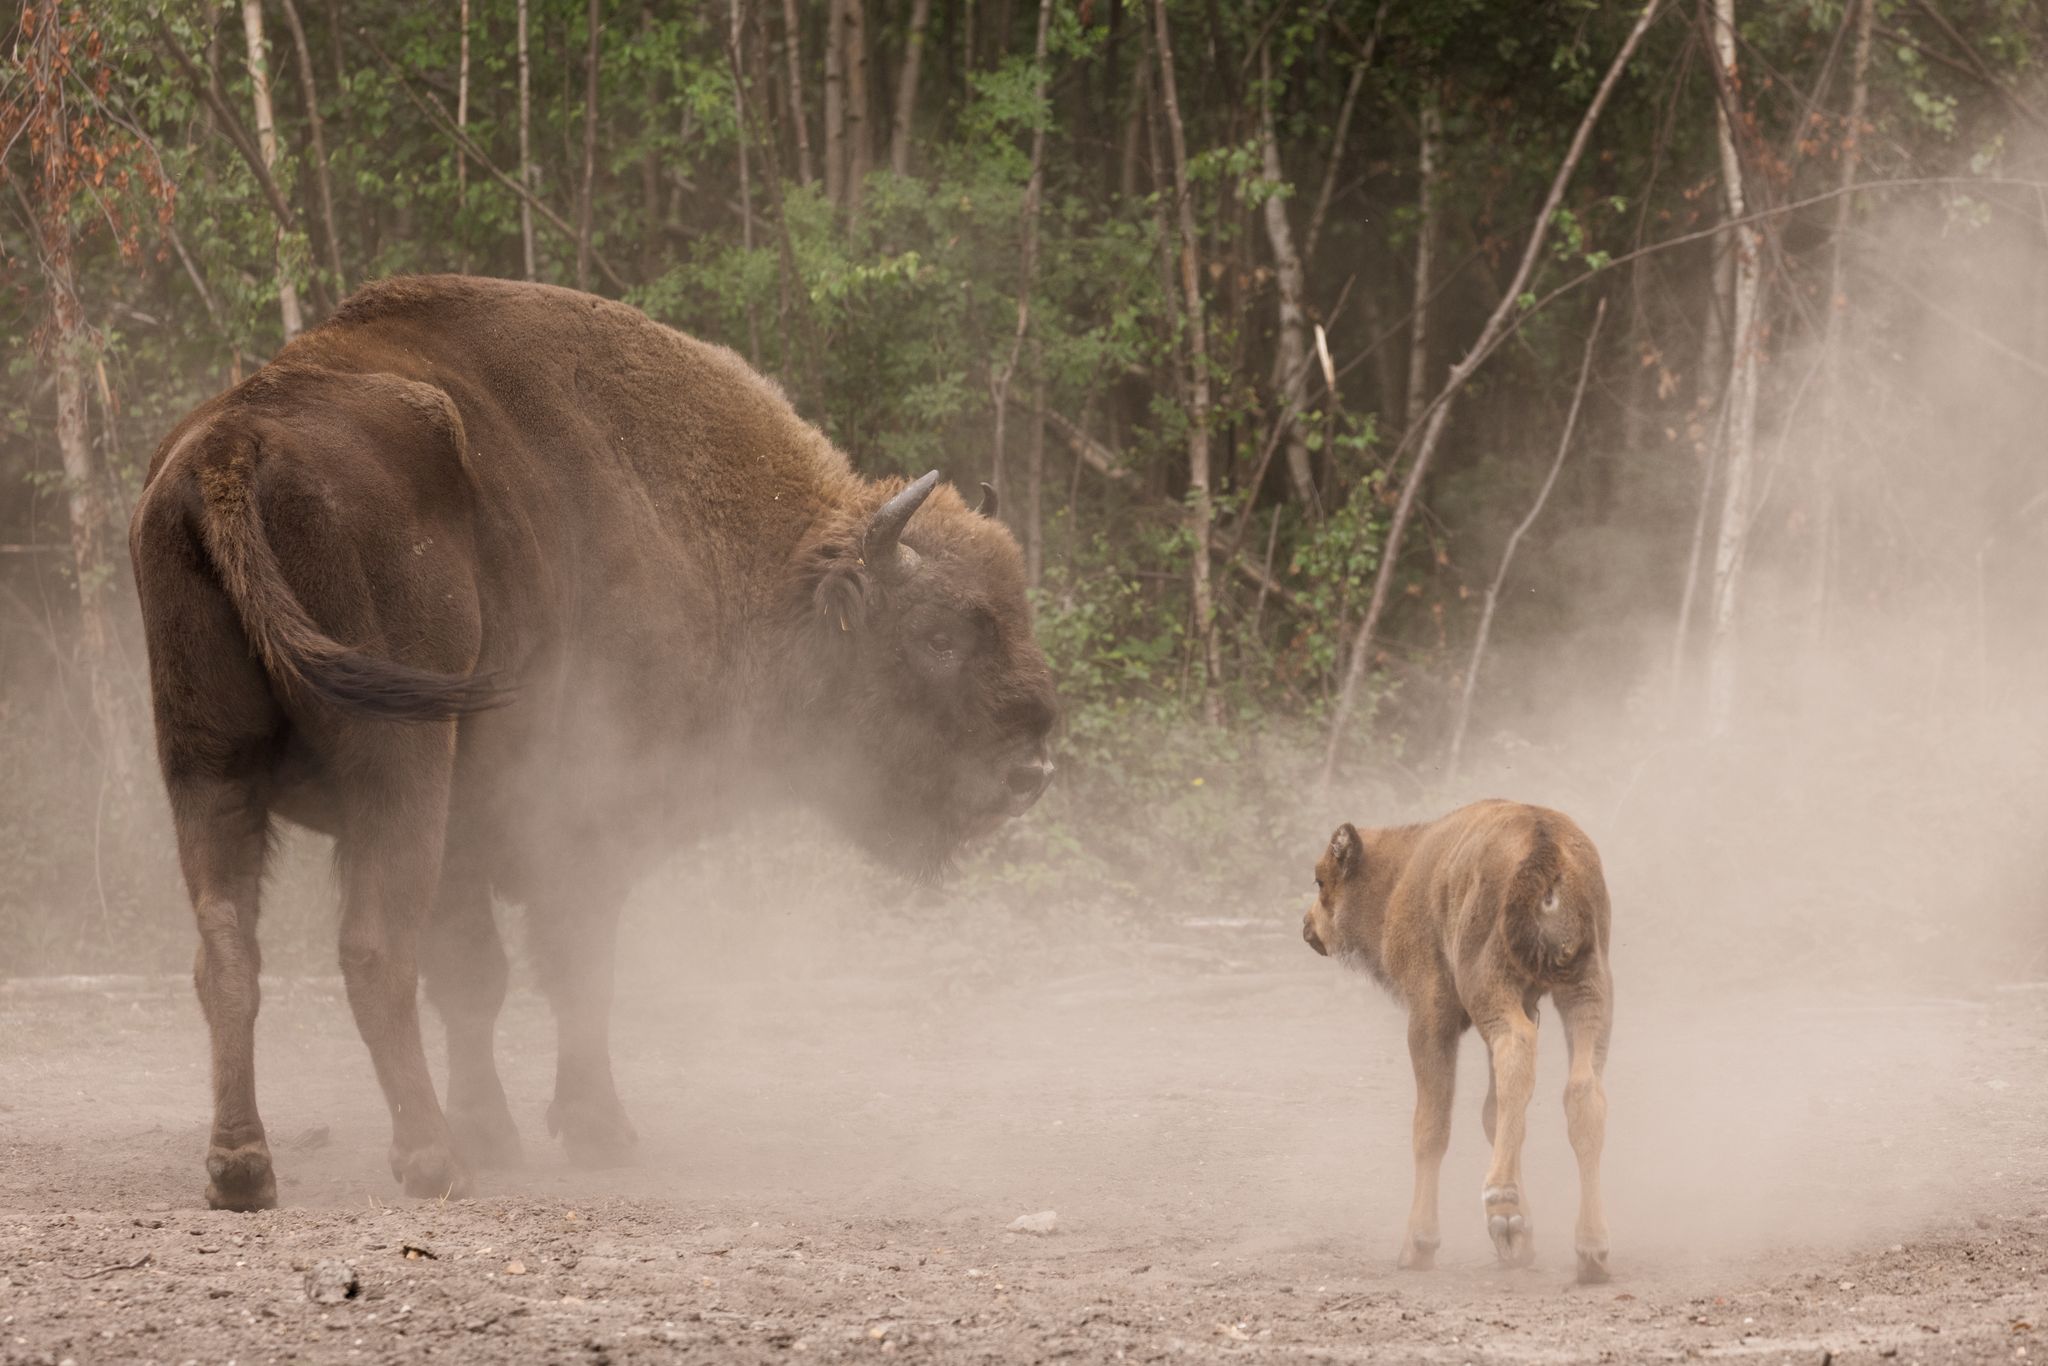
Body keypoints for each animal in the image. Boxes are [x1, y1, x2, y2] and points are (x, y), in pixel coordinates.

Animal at [129, 275, 1058, 1212]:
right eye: (938, 637)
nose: (1032, 769)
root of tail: (235, 446)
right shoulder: (584, 826)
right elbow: (578, 971)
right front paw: (596, 1132)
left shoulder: (473, 838)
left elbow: (477, 979)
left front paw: (497, 1129)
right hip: (399, 765)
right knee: (373, 948)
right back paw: (431, 1162)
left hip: (207, 766)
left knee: (226, 955)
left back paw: (242, 1168)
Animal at [1300, 800, 1614, 1283]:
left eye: (1321, 880)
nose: (1307, 926)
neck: (1401, 871)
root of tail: (1545, 846)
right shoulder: (1526, 1001)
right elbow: (1496, 1112)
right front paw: (1519, 1240)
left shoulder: (1430, 1015)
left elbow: (1431, 1127)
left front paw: (1419, 1245)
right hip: (1585, 988)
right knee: (1580, 1092)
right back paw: (1590, 1251)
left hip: (1487, 983)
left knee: (1517, 1047)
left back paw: (1500, 1199)